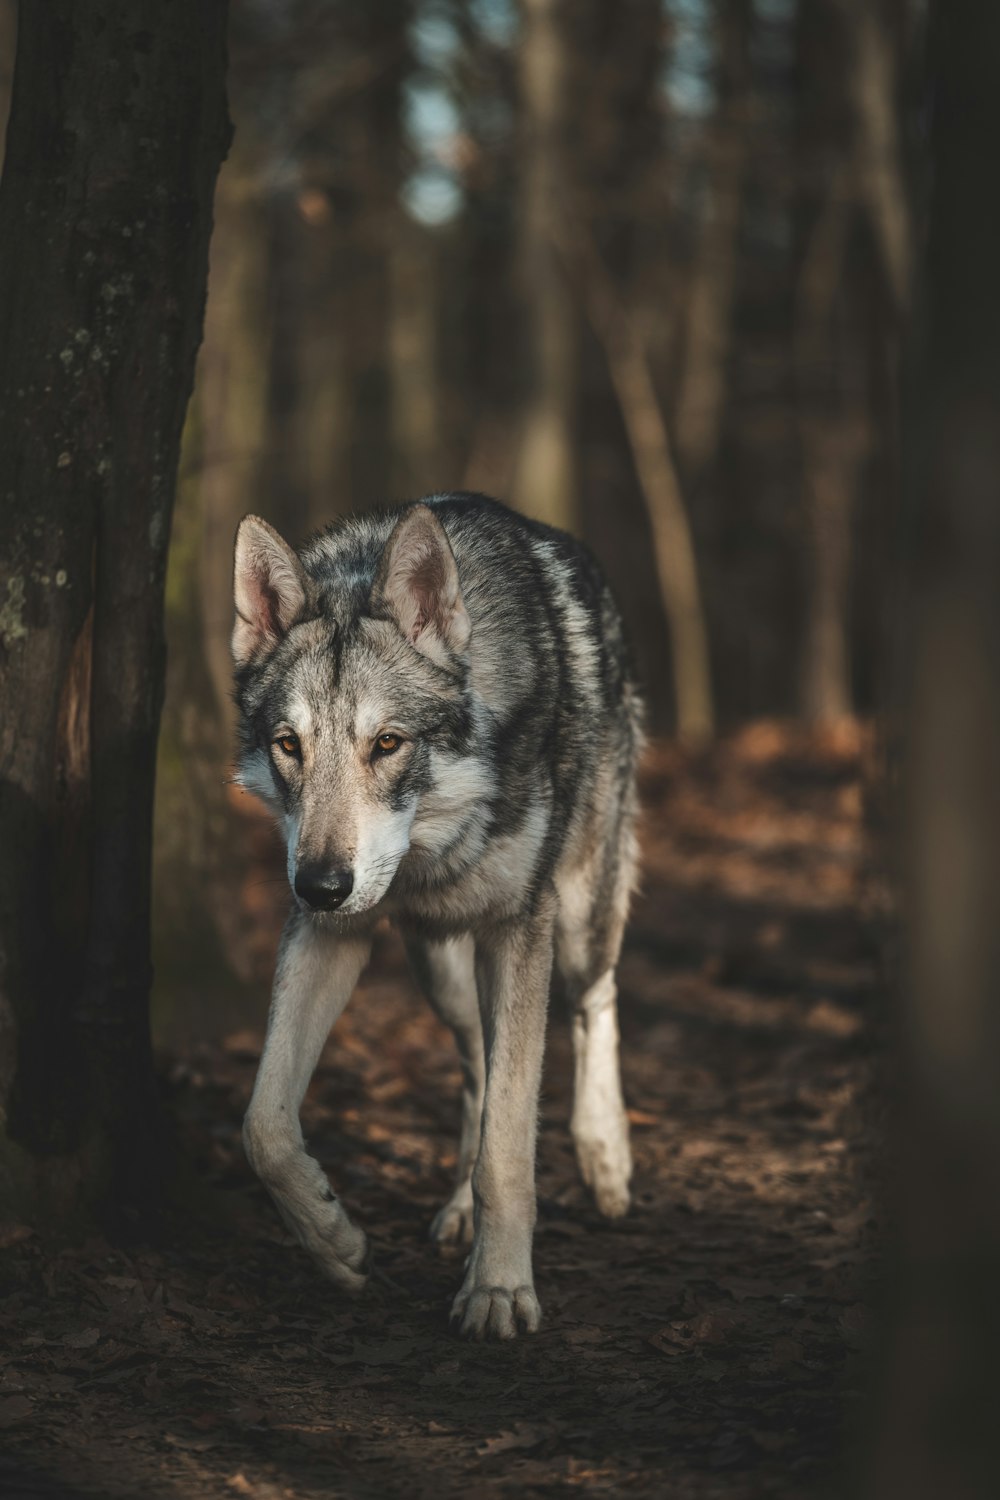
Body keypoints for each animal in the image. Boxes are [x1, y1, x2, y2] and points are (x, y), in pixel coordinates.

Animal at [232, 498, 641, 1344]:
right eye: (289, 745)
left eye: (388, 743)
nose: (322, 883)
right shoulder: (331, 934)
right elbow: (264, 1127)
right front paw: (335, 1243)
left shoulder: (520, 927)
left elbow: (509, 1151)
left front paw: (500, 1290)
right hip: (442, 974)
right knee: (479, 1068)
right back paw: (457, 1212)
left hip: (576, 925)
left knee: (596, 1001)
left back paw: (605, 1158)